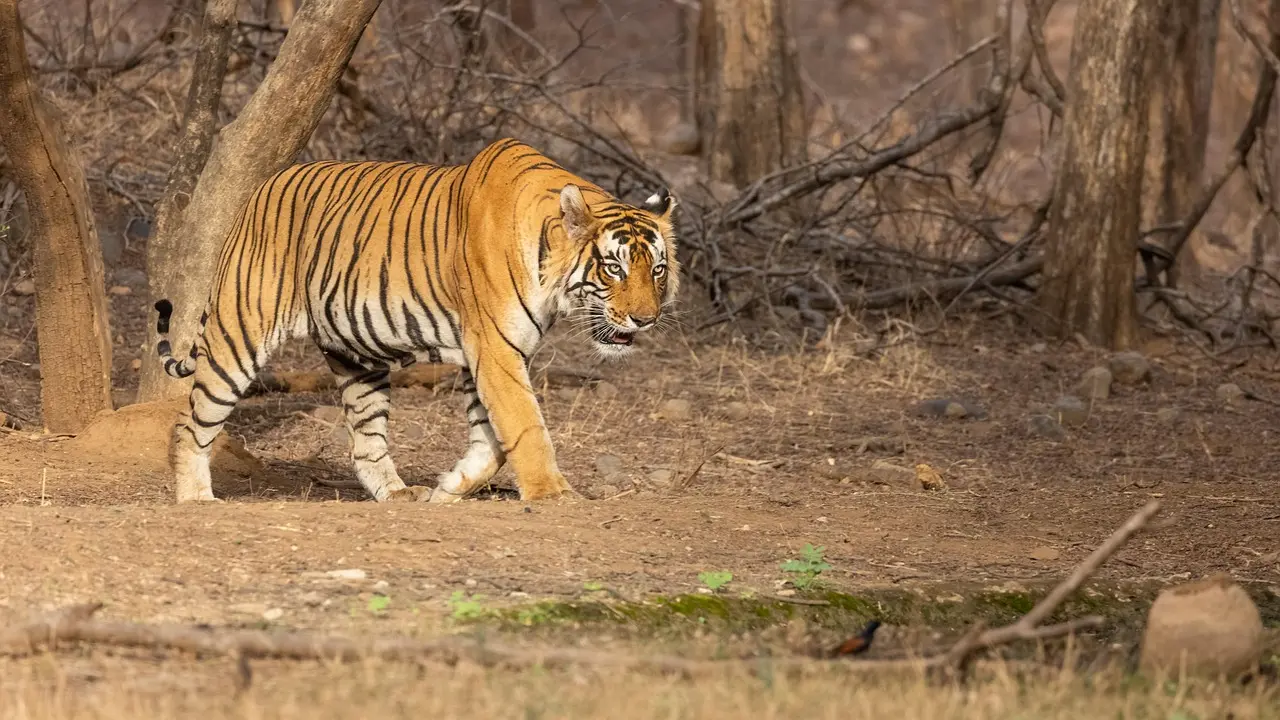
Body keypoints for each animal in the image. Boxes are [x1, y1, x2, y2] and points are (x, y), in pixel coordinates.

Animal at [152, 138, 679, 504]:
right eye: (614, 269)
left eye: (656, 269)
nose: (645, 319)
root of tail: (259, 191)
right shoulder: (495, 349)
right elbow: (526, 425)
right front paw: (554, 494)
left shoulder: (487, 355)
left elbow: (493, 441)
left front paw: (449, 487)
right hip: (239, 334)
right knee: (189, 423)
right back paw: (196, 498)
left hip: (357, 357)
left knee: (365, 443)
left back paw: (398, 493)